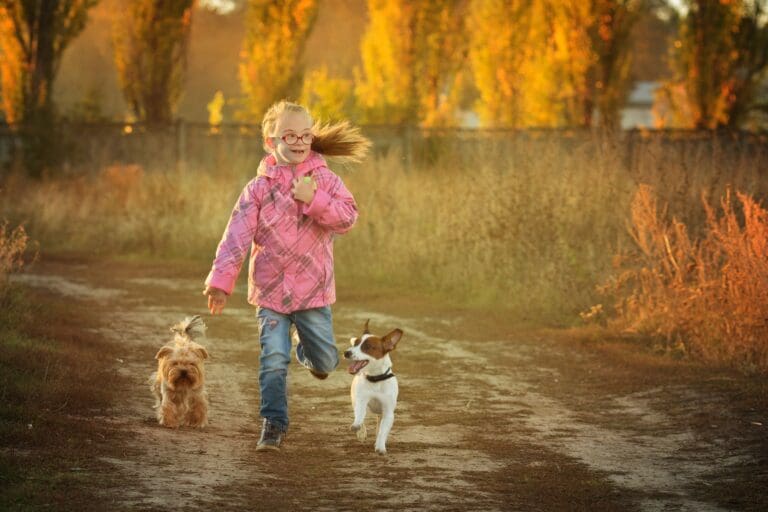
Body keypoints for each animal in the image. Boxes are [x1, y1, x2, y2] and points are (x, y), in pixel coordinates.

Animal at [342, 320, 402, 456]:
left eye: (367, 347)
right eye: (355, 344)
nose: (347, 352)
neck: (375, 379)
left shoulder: (388, 412)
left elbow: (383, 431)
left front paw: (380, 446)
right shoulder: (361, 401)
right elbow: (359, 416)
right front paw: (358, 428)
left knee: (379, 423)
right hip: (355, 400)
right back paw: (361, 432)